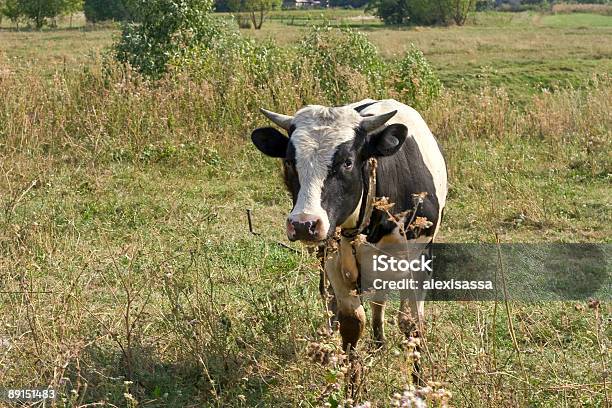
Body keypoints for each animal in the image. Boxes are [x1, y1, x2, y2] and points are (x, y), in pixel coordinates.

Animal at [251, 99, 448, 364]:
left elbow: (411, 324)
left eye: (347, 162)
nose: (304, 224)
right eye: (290, 162)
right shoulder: (334, 262)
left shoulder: (418, 261)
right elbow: (352, 323)